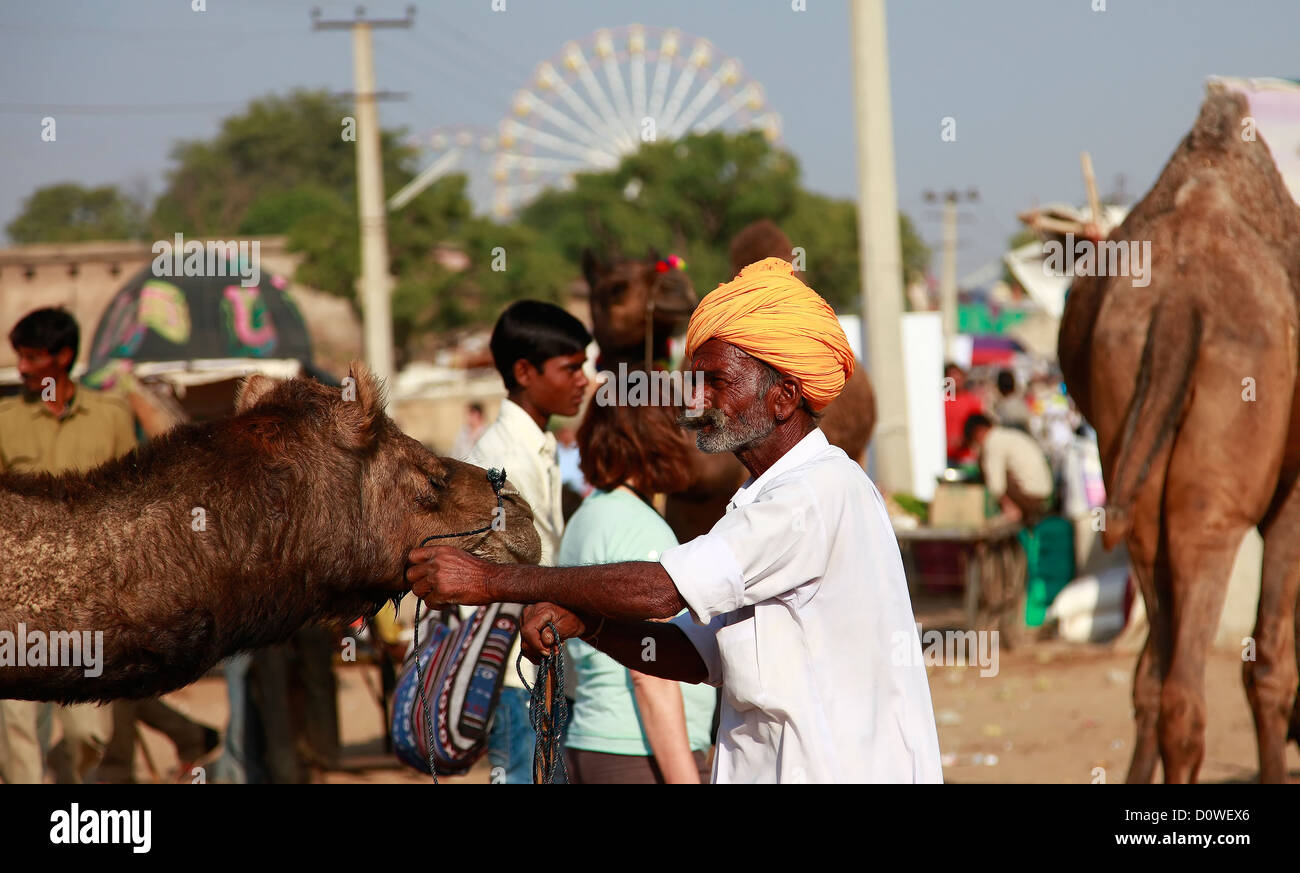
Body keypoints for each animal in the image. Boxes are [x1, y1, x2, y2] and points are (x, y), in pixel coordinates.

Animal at [1060, 90, 1300, 784]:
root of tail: (1177, 301)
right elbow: (1270, 667)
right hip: (1215, 490)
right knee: (1188, 689)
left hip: (1131, 460)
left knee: (1153, 676)